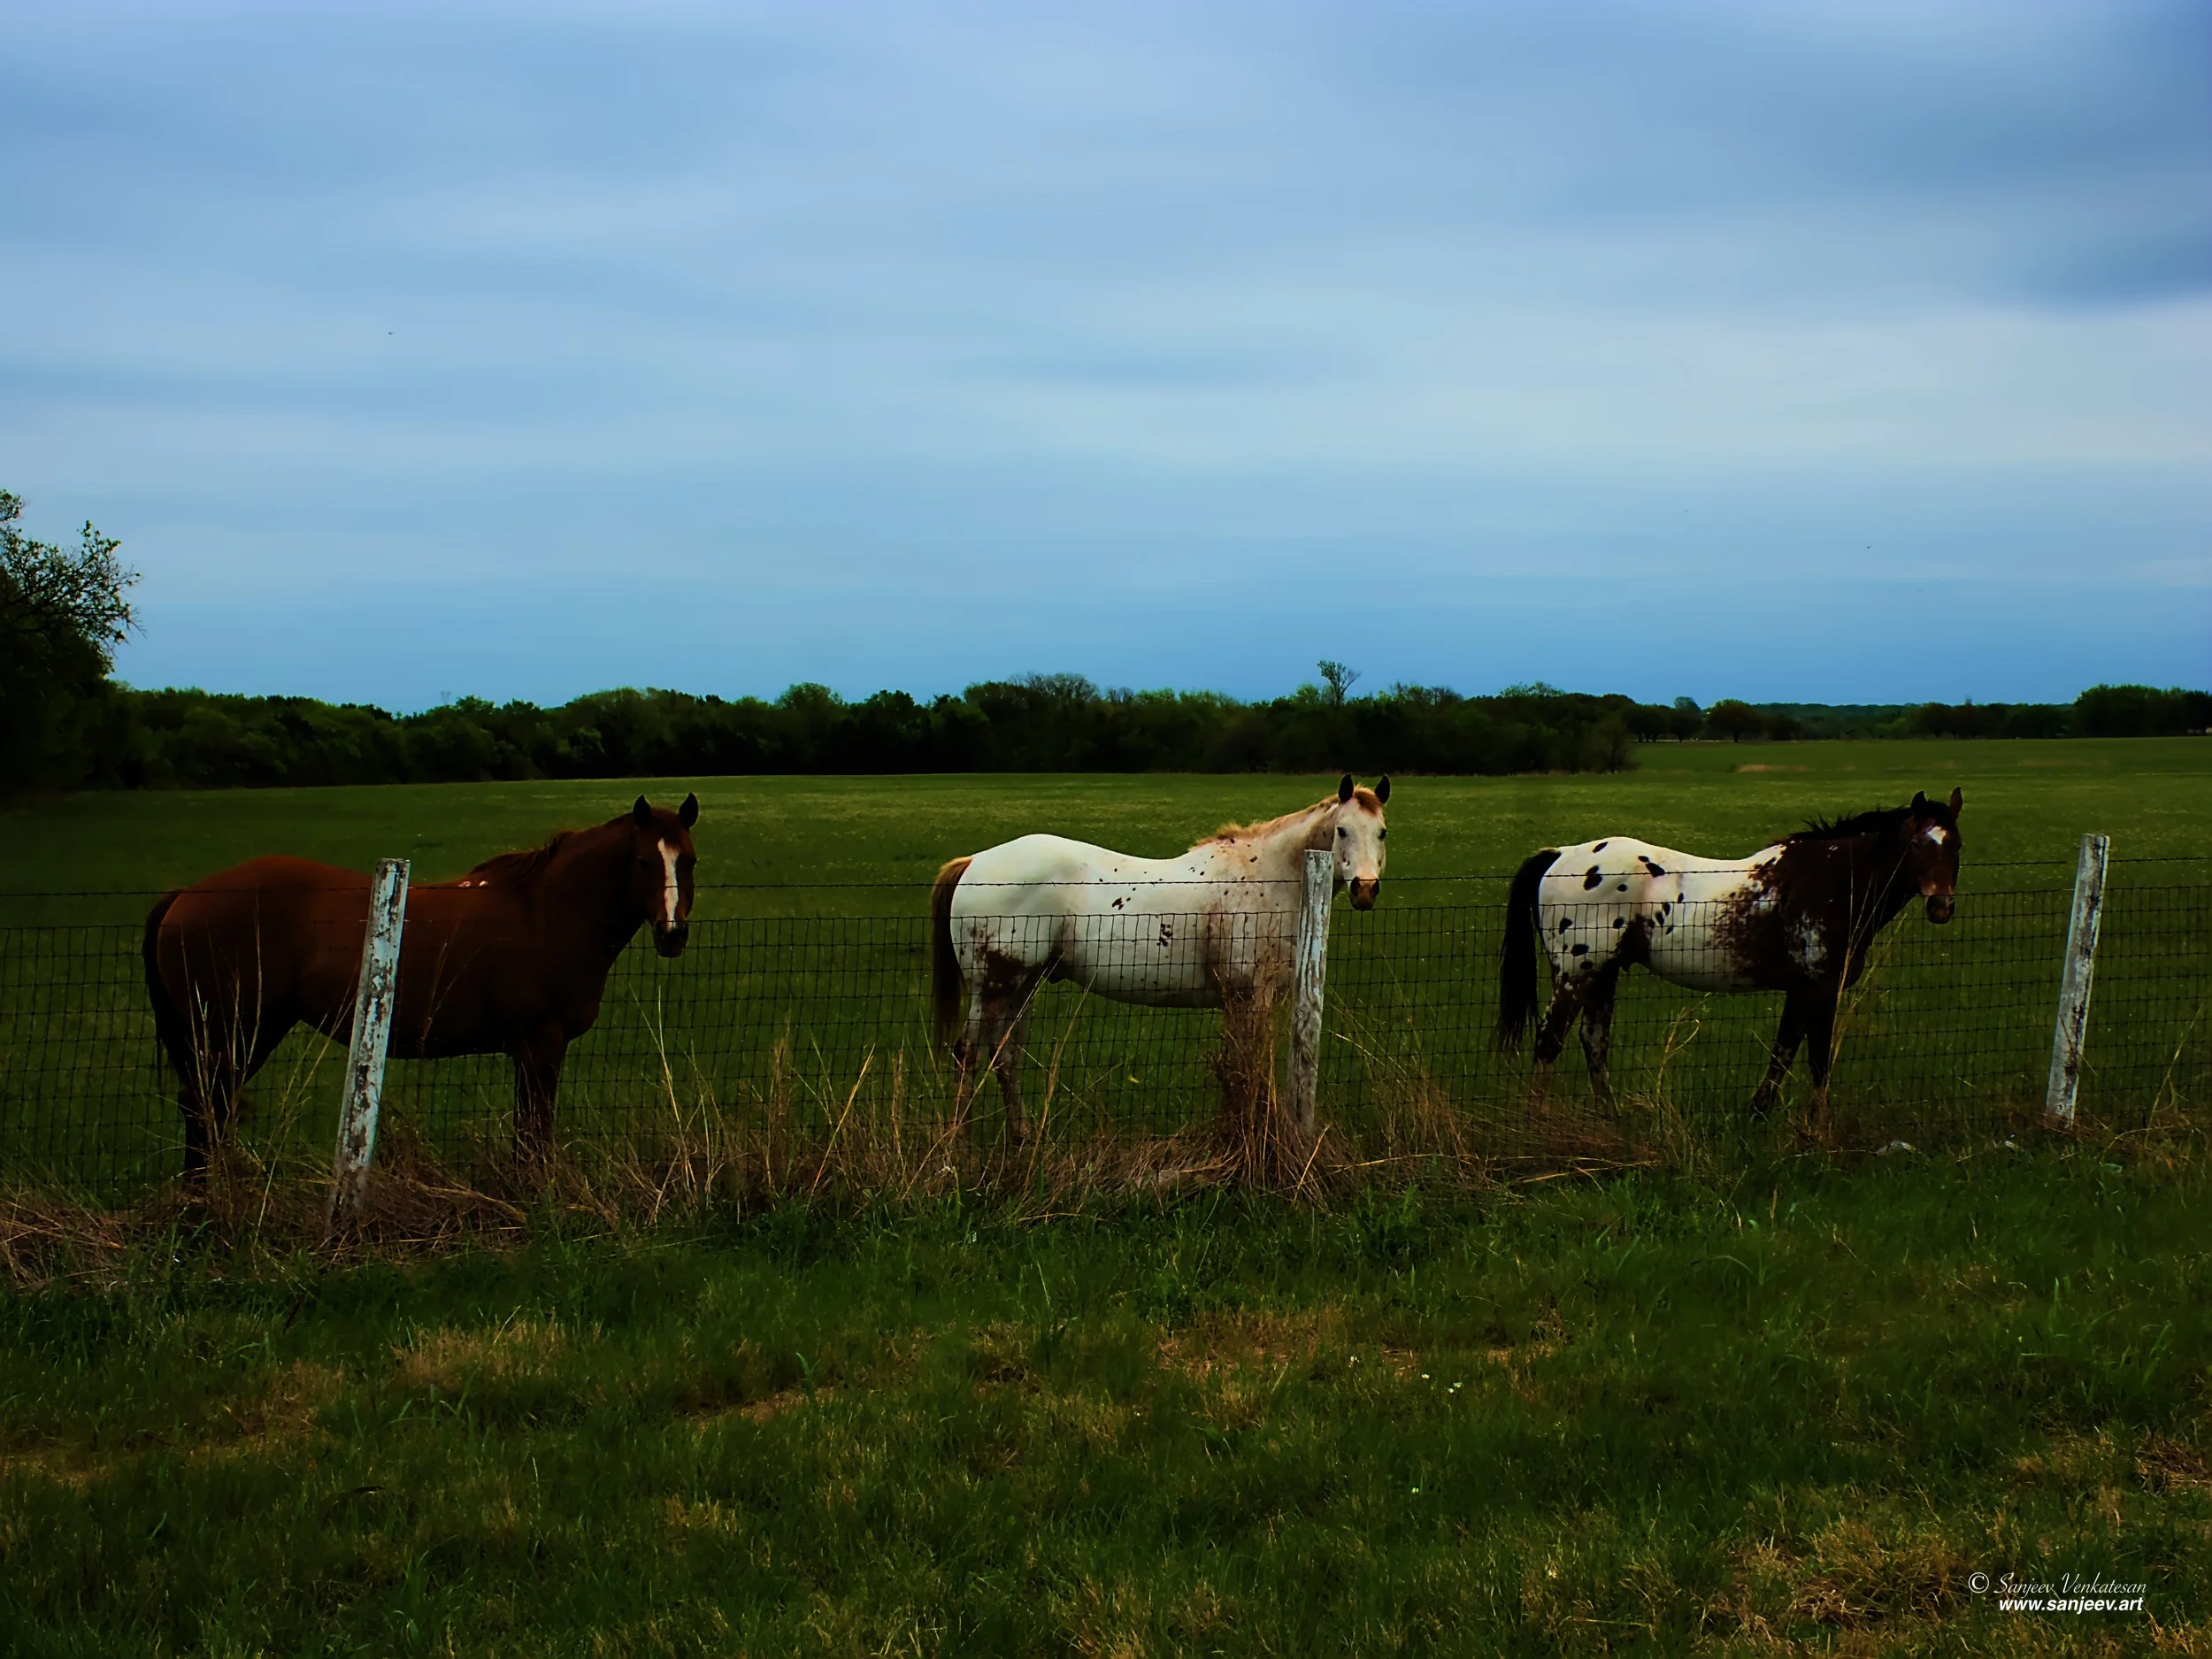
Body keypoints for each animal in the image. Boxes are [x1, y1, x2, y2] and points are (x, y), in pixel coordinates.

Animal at [143, 793, 699, 1180]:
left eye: (688, 861)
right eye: (644, 863)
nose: (673, 934)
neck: (545, 910)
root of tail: (184, 895)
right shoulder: (540, 1047)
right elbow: (534, 1133)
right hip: (236, 1032)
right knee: (205, 1108)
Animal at [930, 774, 1390, 1145]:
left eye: (1382, 833)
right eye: (1342, 830)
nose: (1365, 889)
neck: (1270, 876)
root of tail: (975, 862)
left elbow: (1240, 1068)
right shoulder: (1248, 997)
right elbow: (1244, 1068)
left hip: (1024, 985)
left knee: (1005, 1055)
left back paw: (1022, 1138)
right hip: (993, 986)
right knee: (969, 1054)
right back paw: (957, 1148)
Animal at [1496, 790, 1962, 1118]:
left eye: (1956, 845)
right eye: (1917, 845)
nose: (1941, 907)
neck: (1830, 880)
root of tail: (1560, 855)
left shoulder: (1802, 990)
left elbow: (1784, 1052)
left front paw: (1758, 1116)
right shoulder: (1820, 988)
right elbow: (1816, 1061)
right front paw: (1815, 1132)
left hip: (1602, 975)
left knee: (1593, 1042)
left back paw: (1610, 1121)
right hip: (1577, 973)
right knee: (1549, 1041)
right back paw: (1538, 1123)